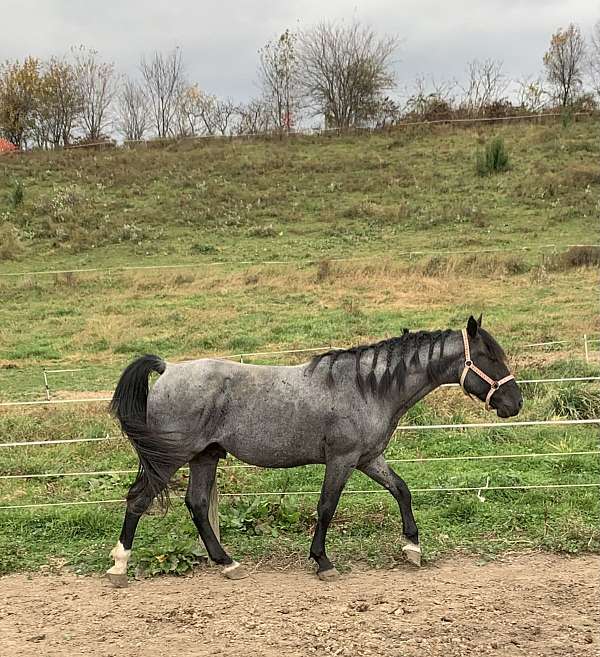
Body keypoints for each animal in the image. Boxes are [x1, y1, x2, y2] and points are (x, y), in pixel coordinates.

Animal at [105, 316, 524, 588]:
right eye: (488, 357)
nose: (515, 403)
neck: (367, 387)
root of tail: (168, 369)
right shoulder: (342, 460)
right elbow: (326, 507)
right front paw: (323, 562)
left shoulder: (369, 459)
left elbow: (401, 490)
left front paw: (412, 547)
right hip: (169, 458)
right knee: (139, 499)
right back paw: (120, 566)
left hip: (205, 456)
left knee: (196, 504)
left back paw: (228, 563)